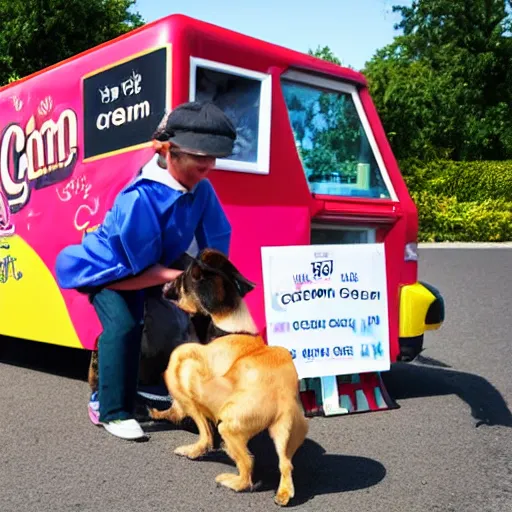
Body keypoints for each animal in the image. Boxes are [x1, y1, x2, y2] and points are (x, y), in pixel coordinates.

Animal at [148, 250, 308, 506]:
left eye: (182, 279)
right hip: (286, 433)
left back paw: (222, 475)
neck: (230, 327)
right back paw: (283, 494)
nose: (166, 279)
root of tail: (282, 401)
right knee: (286, 464)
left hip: (229, 425)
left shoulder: (187, 364)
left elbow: (194, 418)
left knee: (245, 467)